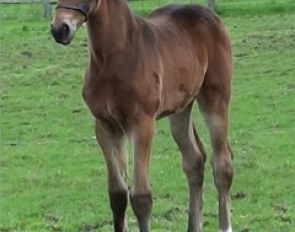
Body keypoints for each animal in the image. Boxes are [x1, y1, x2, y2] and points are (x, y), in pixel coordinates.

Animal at [52, 0, 235, 231]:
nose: (60, 29)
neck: (114, 57)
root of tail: (210, 14)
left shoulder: (142, 125)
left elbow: (141, 197)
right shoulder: (106, 126)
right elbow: (117, 194)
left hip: (215, 98)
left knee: (222, 164)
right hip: (180, 108)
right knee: (194, 160)